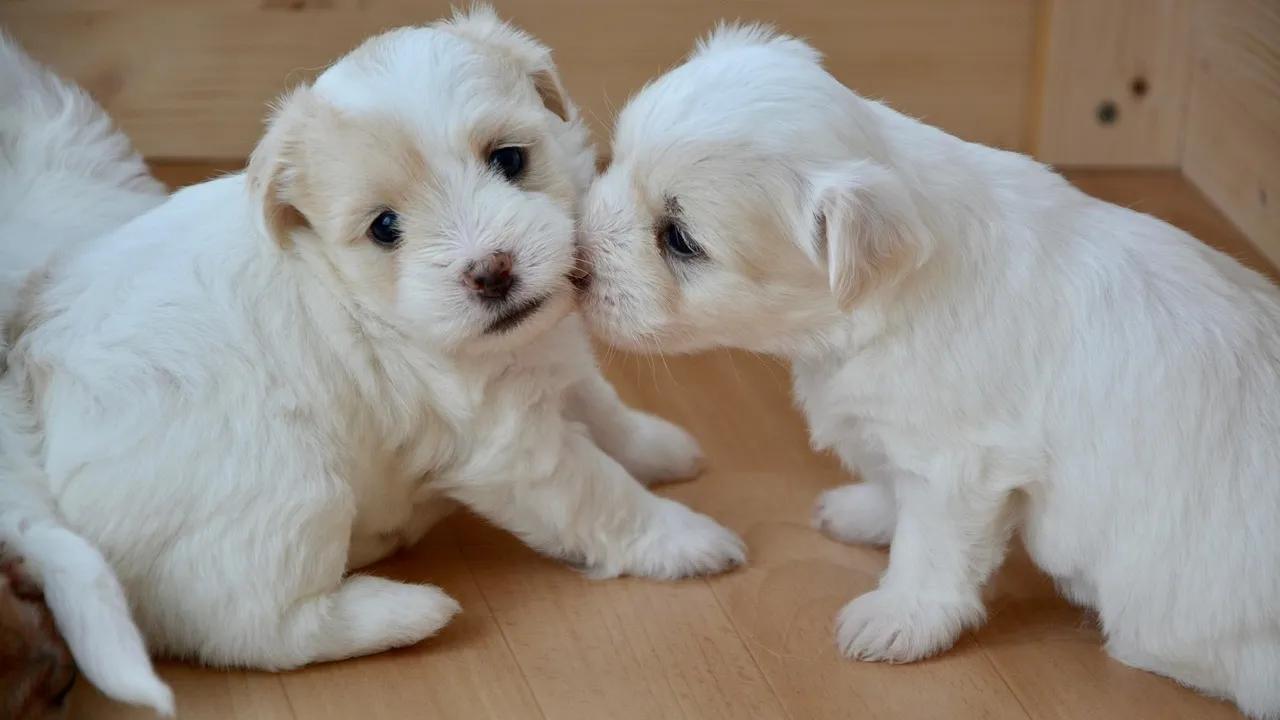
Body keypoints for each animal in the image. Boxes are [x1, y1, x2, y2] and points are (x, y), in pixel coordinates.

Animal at [0, 7, 747, 707]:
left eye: (508, 160)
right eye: (386, 228)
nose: (491, 272)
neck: (363, 297)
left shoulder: (549, 361)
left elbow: (603, 409)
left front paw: (660, 449)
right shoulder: (512, 448)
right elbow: (602, 495)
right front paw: (686, 538)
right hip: (291, 494)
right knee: (256, 629)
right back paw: (405, 609)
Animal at [578, 23, 1280, 717]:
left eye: (680, 239)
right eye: (615, 158)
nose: (576, 265)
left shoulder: (959, 464)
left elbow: (932, 549)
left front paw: (898, 618)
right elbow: (895, 491)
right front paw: (865, 514)